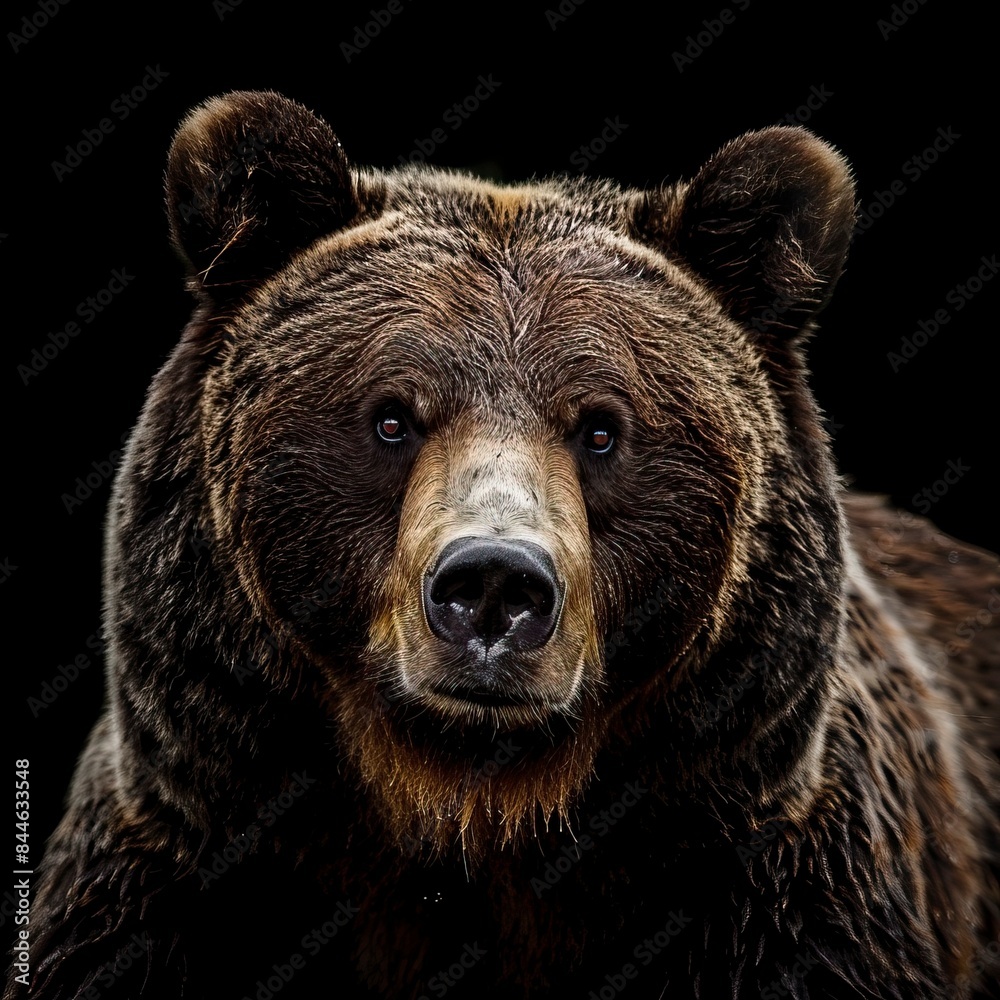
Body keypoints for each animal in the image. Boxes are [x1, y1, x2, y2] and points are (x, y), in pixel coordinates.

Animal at [7, 91, 1000, 1000]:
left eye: (600, 430)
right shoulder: (166, 880)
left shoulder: (780, 886)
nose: (493, 585)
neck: (477, 808)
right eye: (391, 417)